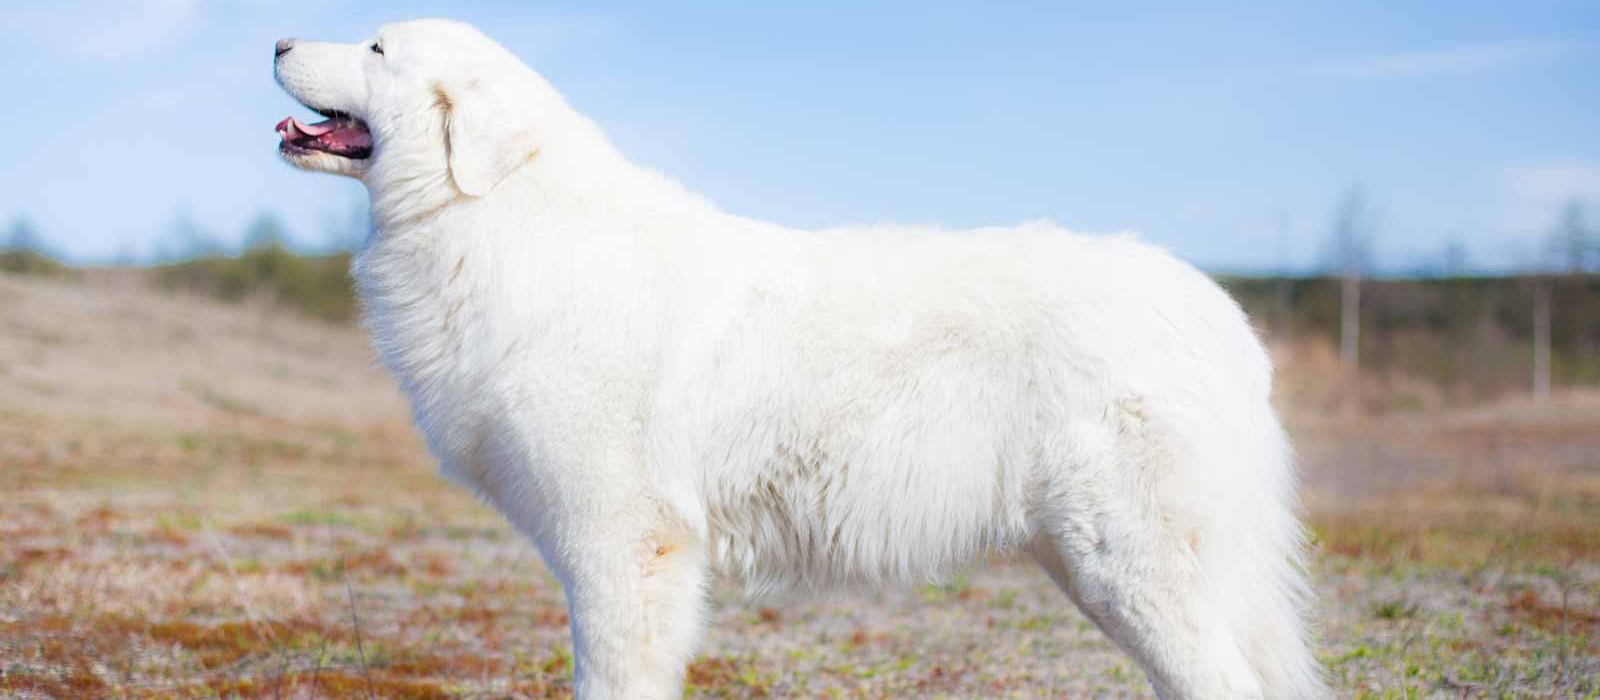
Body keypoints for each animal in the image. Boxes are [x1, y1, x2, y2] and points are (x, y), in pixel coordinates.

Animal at [272, 19, 1324, 696]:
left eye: (377, 49)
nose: (274, 44)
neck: (495, 215)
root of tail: (1225, 319)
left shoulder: (621, 547)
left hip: (1129, 570)